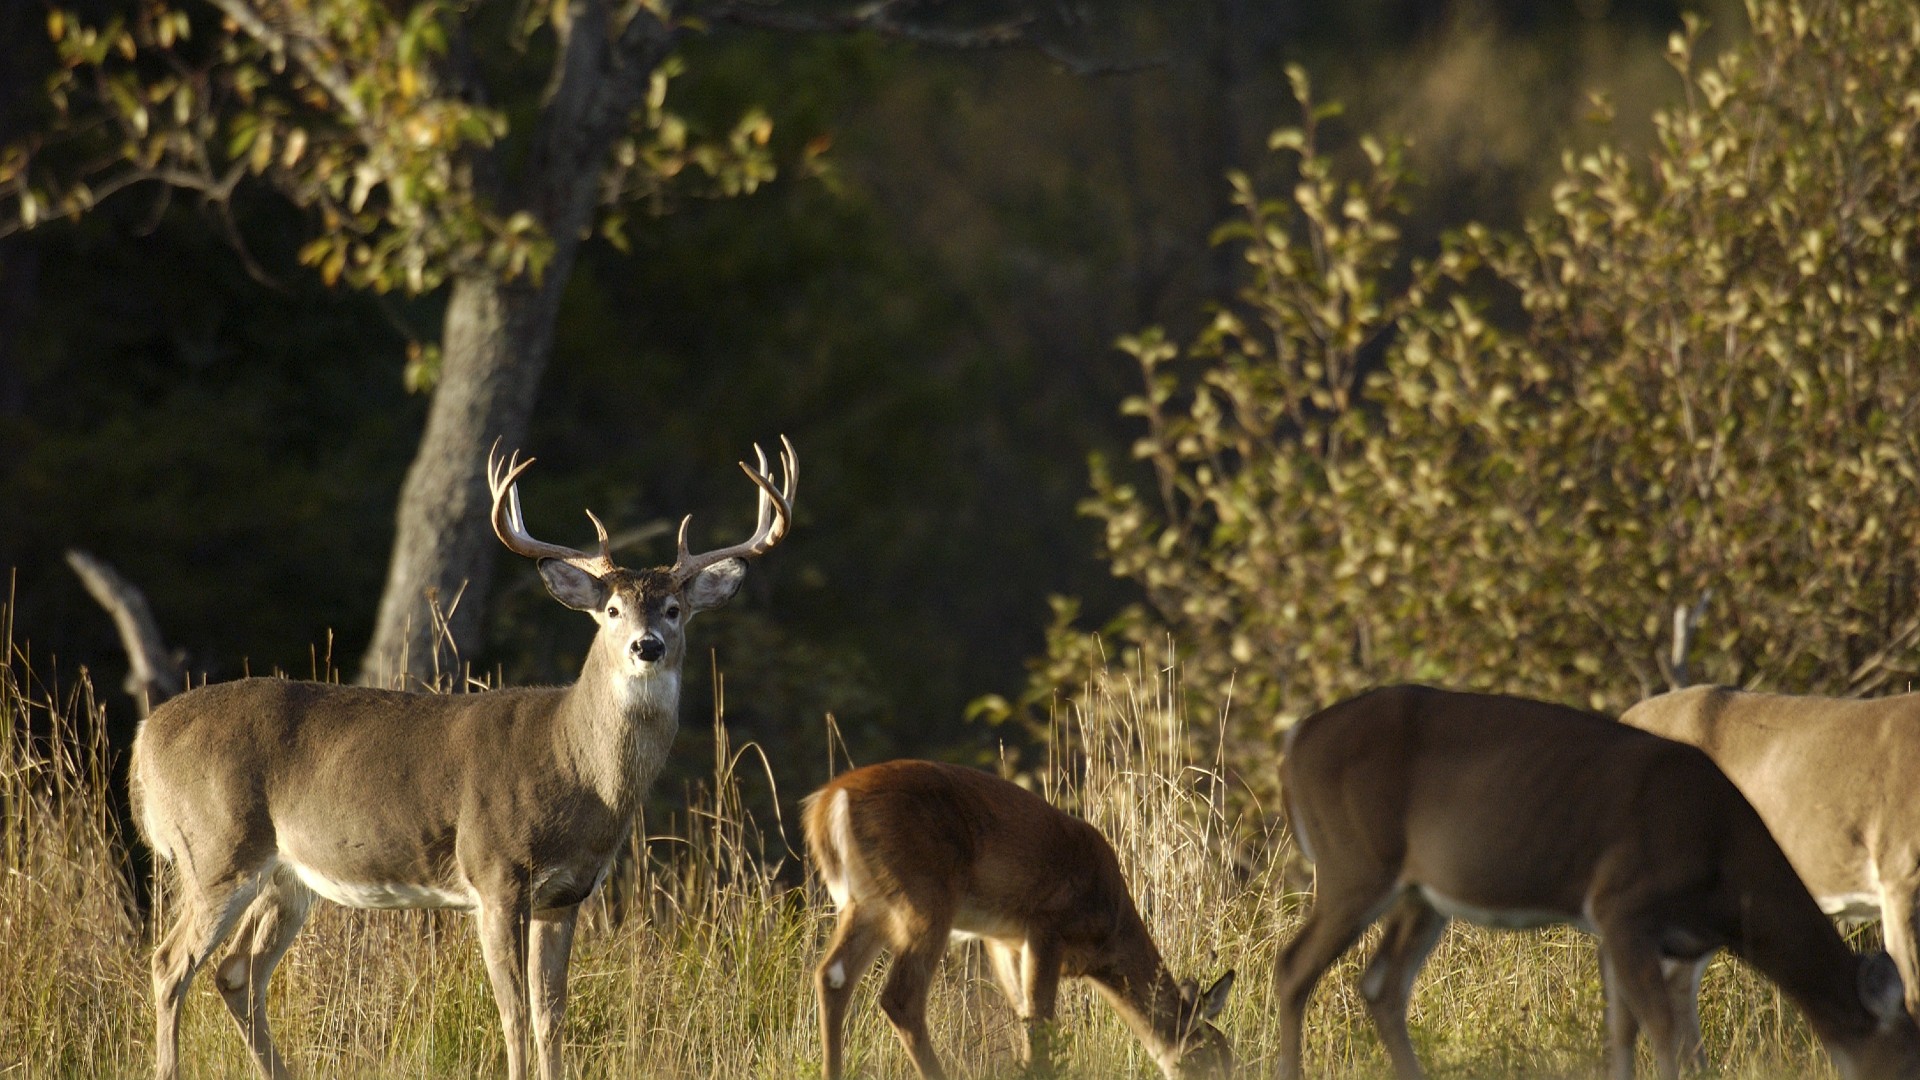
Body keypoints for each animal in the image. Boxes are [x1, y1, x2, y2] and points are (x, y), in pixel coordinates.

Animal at [129, 436, 796, 1080]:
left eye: (674, 610)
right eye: (611, 611)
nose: (646, 645)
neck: (574, 764)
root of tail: (144, 736)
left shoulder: (567, 894)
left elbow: (552, 1015)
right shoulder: (495, 872)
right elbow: (513, 1013)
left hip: (286, 877)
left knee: (235, 973)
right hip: (216, 847)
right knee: (168, 963)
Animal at [802, 759, 1235, 1080]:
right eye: (1211, 1057)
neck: (1110, 930)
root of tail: (829, 803)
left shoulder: (1003, 939)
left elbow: (1027, 1020)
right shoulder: (1047, 924)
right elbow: (1040, 1029)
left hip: (867, 904)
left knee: (832, 976)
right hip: (925, 896)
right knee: (900, 997)